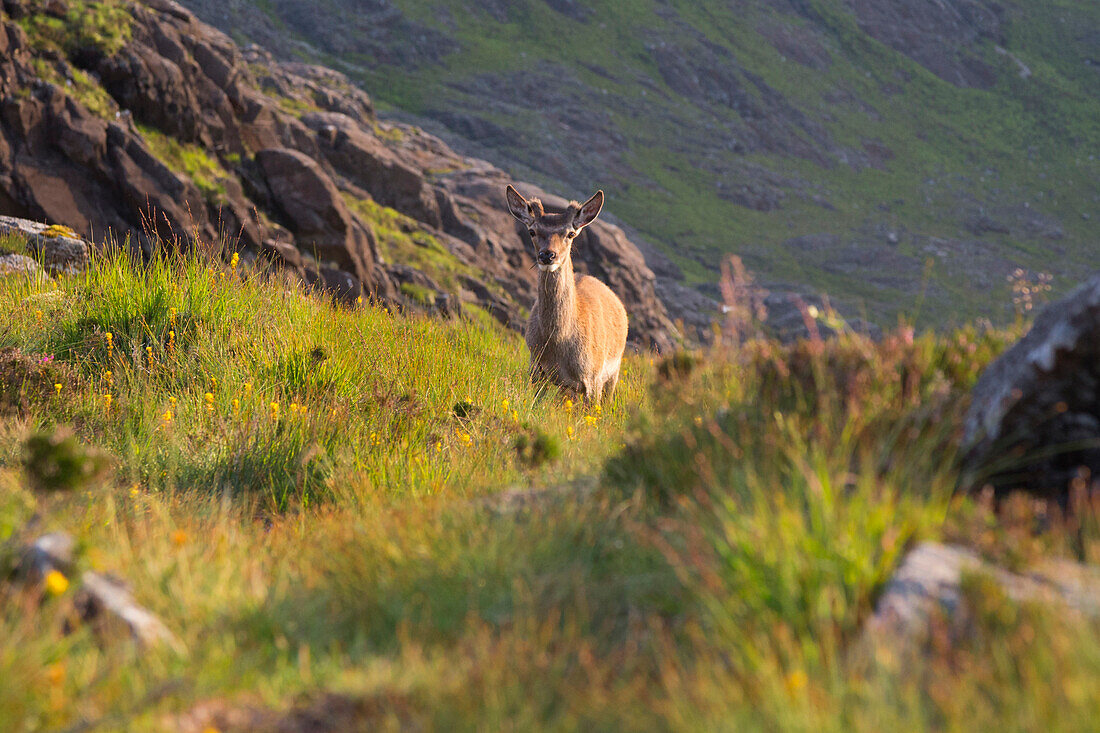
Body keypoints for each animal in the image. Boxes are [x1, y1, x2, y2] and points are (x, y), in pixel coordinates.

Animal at [506, 181, 629, 400]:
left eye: (570, 233)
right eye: (532, 231)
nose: (547, 255)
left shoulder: (594, 379)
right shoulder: (535, 368)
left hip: (613, 371)